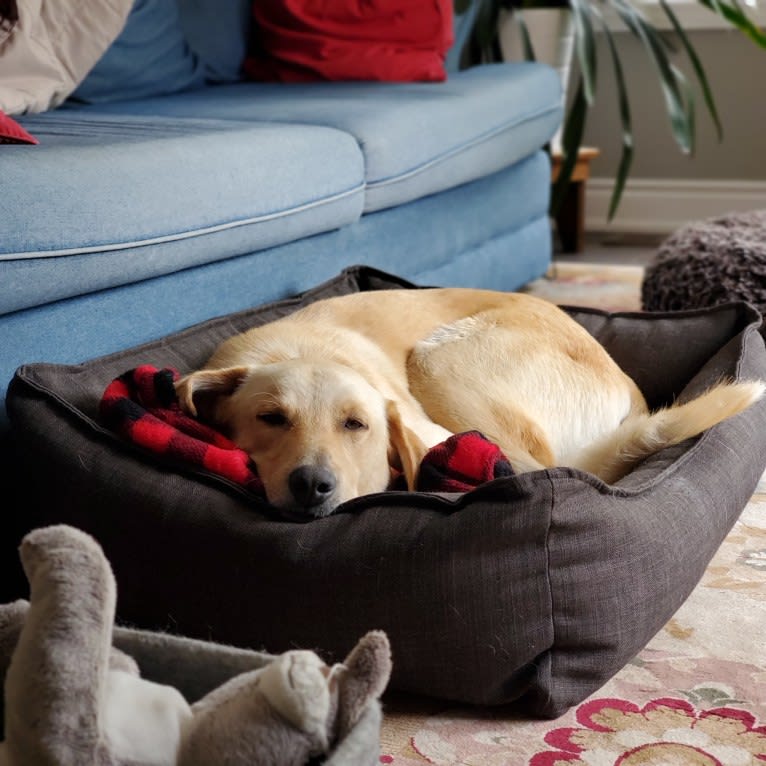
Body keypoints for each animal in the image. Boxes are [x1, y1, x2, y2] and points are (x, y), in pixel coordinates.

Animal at [176, 292, 766, 520]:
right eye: (271, 419)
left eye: (356, 425)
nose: (312, 485)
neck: (300, 352)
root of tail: (627, 387)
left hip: (438, 361)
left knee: (538, 466)